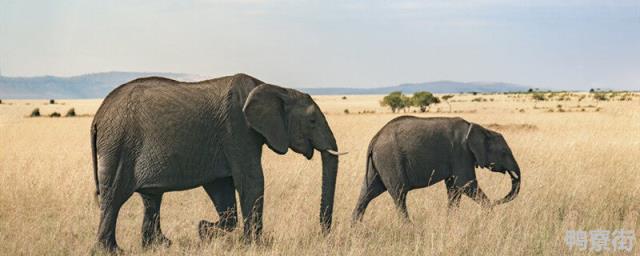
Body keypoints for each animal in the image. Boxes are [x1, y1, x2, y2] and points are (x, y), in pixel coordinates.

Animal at [90, 73, 344, 252]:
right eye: (312, 121)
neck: (275, 87)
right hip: (119, 145)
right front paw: (254, 245)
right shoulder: (237, 128)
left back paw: (159, 245)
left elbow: (222, 186)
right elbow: (252, 181)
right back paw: (112, 251)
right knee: (114, 197)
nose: (323, 234)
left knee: (151, 198)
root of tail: (97, 117)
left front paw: (204, 230)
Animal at [352, 116, 524, 222]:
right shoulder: (461, 153)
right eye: (504, 153)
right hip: (390, 160)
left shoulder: (458, 157)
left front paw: (451, 221)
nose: (497, 201)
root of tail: (374, 139)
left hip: (379, 164)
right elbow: (465, 184)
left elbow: (454, 189)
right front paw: (490, 213)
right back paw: (408, 227)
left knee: (367, 192)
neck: (478, 128)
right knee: (399, 195)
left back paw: (355, 228)